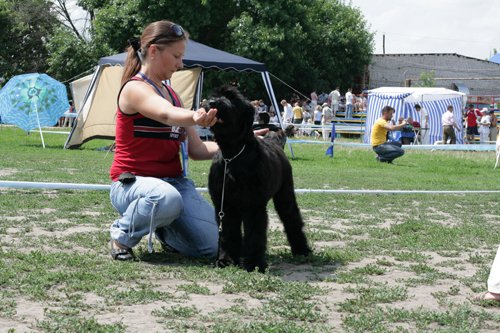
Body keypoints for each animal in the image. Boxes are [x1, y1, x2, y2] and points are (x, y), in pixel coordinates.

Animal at [206, 86, 308, 272]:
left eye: (233, 99)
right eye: (214, 95)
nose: (212, 103)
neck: (232, 154)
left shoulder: (253, 205)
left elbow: (254, 234)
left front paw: (253, 263)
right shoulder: (225, 205)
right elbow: (227, 233)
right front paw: (226, 259)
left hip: (285, 195)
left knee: (292, 219)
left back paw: (302, 250)